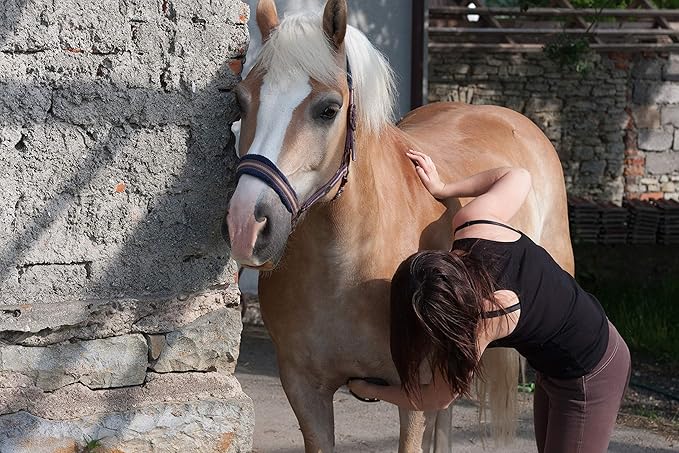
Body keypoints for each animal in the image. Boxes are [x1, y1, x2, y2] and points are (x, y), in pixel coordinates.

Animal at [225, 0, 574, 451]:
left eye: (328, 109)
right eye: (241, 101)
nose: (246, 225)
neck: (348, 266)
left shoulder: (413, 396)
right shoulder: (305, 391)